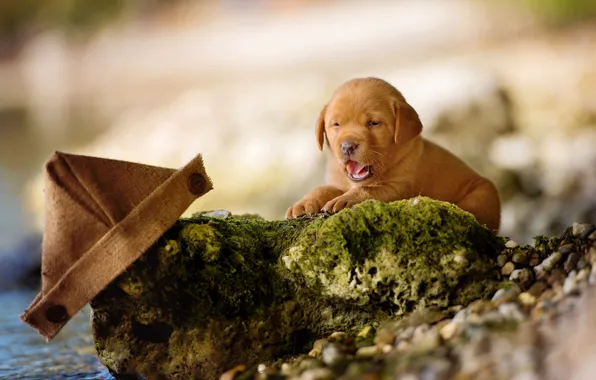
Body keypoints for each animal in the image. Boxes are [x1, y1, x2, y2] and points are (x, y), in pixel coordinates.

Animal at [286, 77, 500, 232]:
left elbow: (369, 190)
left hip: (482, 195)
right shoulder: (338, 182)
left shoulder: (399, 188)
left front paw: (346, 199)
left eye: (373, 123)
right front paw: (304, 203)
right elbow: (321, 188)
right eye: (336, 124)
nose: (347, 146)